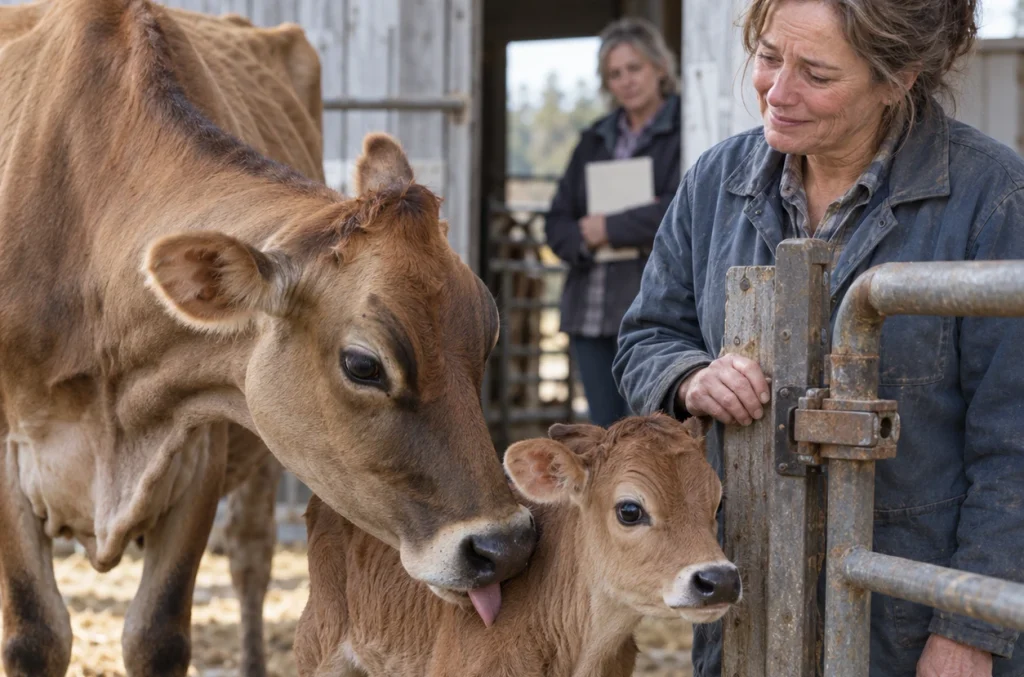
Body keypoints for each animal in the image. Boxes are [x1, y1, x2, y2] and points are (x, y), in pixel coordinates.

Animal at [0, 2, 537, 676]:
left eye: (488, 337)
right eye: (363, 365)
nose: (507, 545)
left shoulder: (200, 449)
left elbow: (156, 634)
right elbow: (36, 634)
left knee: (251, 559)